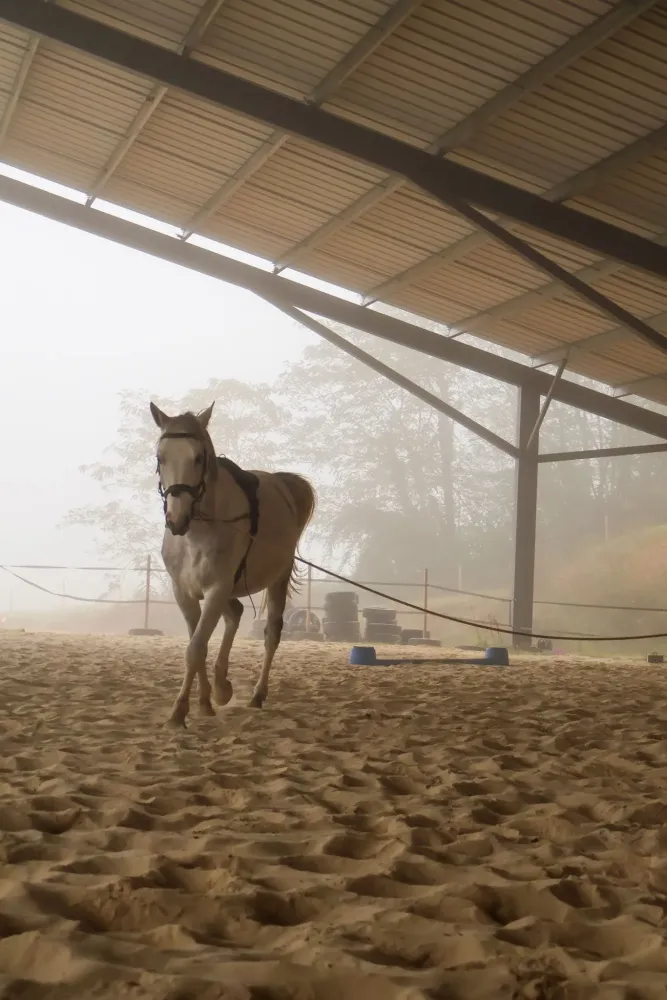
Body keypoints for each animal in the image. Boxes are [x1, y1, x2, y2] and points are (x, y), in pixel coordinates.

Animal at [150, 401, 316, 727]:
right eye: (160, 457)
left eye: (198, 457)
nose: (176, 520)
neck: (197, 531)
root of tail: (282, 483)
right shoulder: (184, 593)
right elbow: (197, 644)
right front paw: (204, 701)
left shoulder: (216, 589)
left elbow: (195, 648)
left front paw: (179, 711)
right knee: (235, 613)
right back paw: (222, 686)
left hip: (276, 580)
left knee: (271, 634)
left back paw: (256, 695)